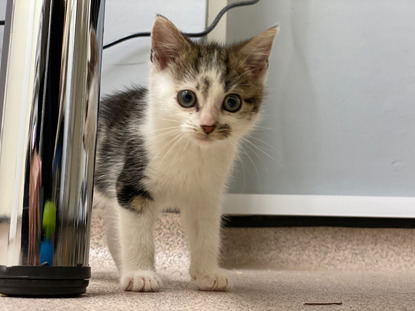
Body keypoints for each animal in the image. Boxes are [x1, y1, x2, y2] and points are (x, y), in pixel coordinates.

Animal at [94, 15, 280, 294]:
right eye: (186, 98)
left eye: (232, 102)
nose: (207, 125)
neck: (192, 151)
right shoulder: (131, 182)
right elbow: (136, 232)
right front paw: (141, 274)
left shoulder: (207, 194)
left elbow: (207, 231)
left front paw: (207, 273)